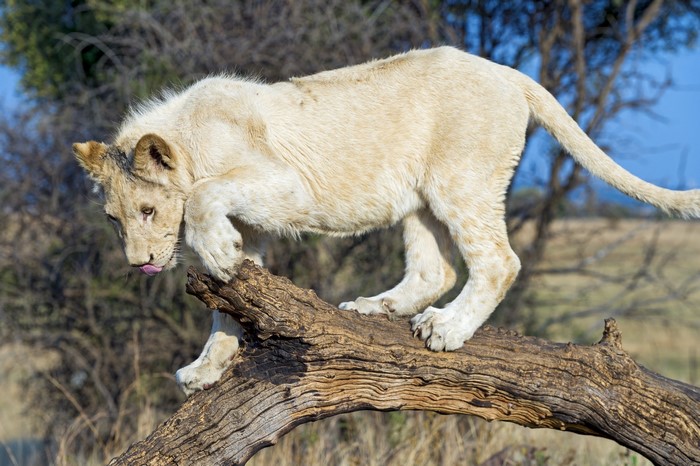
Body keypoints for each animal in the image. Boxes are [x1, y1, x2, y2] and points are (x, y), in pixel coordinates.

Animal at [73, 47, 700, 395]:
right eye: (113, 220)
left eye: (148, 211)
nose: (140, 263)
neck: (190, 136)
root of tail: (510, 74)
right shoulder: (257, 224)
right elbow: (226, 309)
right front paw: (205, 368)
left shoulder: (289, 184)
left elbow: (206, 194)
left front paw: (218, 251)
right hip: (419, 199)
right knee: (433, 271)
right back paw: (375, 308)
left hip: (460, 182)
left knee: (498, 261)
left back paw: (446, 329)